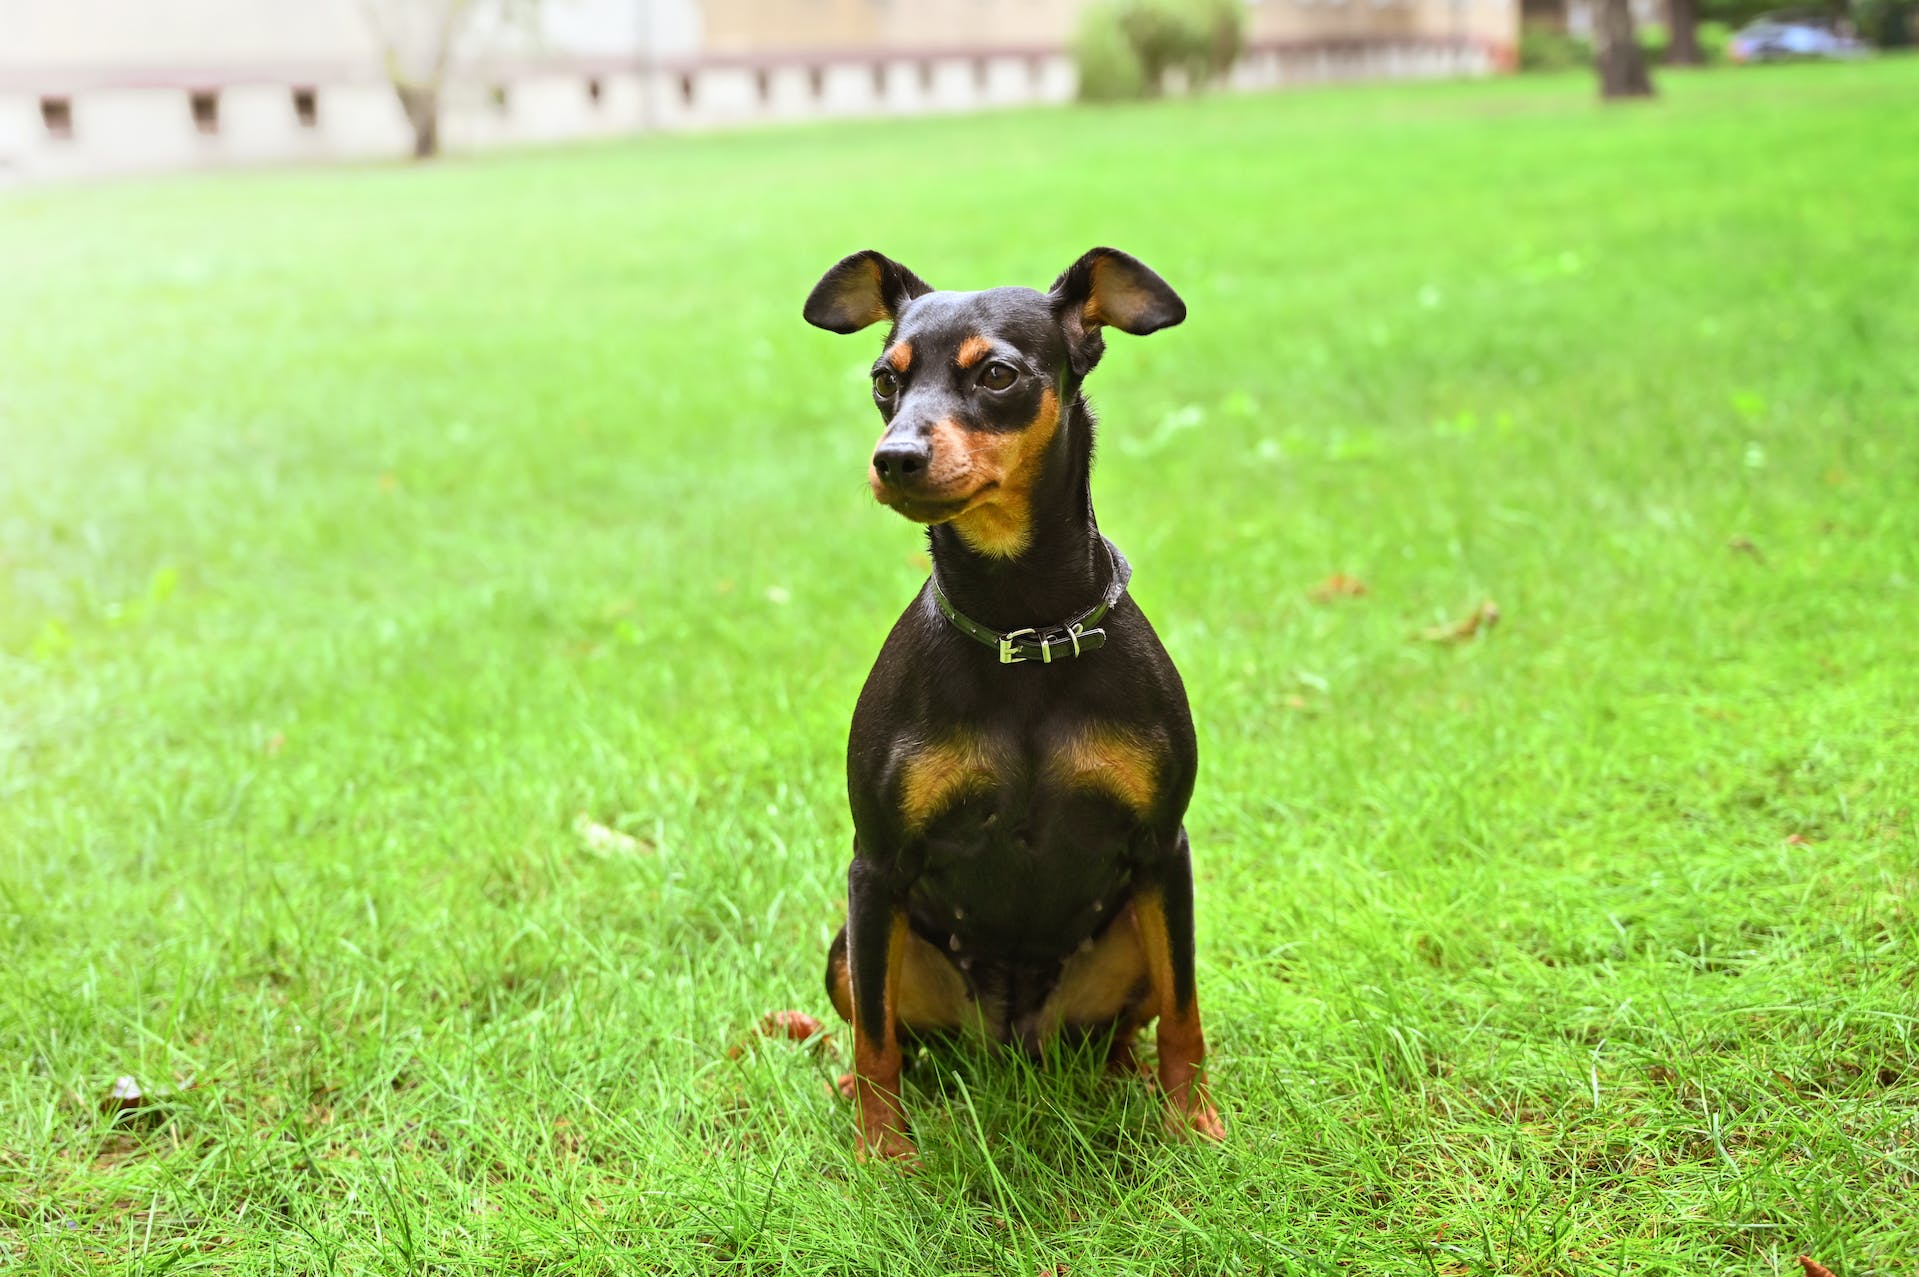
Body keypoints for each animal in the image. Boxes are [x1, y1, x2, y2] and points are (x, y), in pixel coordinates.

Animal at [802, 249, 1220, 1167]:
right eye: (883, 381)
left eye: (996, 374)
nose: (894, 456)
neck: (1021, 628)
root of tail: (1013, 1041)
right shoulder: (875, 865)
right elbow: (876, 1039)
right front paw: (883, 1155)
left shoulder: (1161, 852)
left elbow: (1186, 1013)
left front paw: (1194, 1125)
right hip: (854, 945)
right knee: (895, 1037)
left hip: (1131, 937)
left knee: (1127, 1026)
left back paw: (1126, 1078)